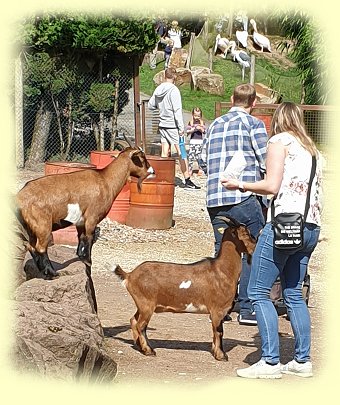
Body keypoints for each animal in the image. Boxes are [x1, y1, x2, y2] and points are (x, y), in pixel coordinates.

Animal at [15, 146, 154, 280]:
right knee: (40, 247)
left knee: (31, 247)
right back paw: (52, 274)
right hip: (42, 225)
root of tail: (20, 196)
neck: (105, 179)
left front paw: (82, 259)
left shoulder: (80, 221)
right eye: (141, 158)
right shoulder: (92, 217)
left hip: (31, 229)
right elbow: (89, 239)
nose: (152, 171)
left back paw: (44, 272)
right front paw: (88, 262)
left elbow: (81, 240)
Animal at [113, 216, 255, 362]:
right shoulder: (217, 310)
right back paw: (149, 351)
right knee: (141, 325)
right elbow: (219, 331)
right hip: (146, 304)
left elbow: (216, 332)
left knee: (134, 320)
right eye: (246, 233)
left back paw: (139, 346)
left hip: (141, 305)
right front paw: (221, 355)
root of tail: (130, 275)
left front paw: (216, 352)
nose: (254, 247)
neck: (222, 270)